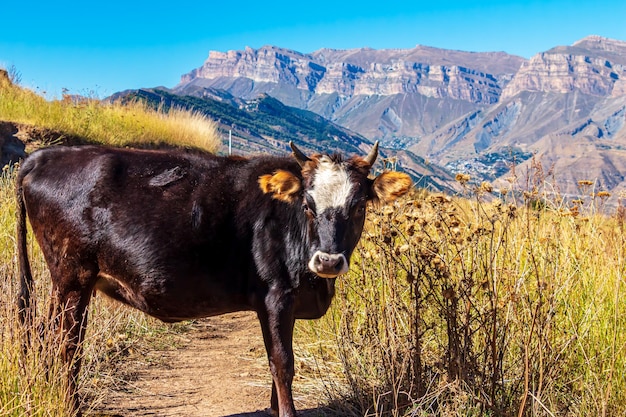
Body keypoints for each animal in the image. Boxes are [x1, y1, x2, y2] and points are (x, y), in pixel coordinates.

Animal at [15, 141, 410, 414]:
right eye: (308, 205)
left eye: (358, 206)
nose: (328, 261)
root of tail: (46, 156)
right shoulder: (276, 295)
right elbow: (283, 363)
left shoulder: (282, 304)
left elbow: (275, 364)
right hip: (72, 277)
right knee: (66, 346)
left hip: (68, 283)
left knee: (49, 339)